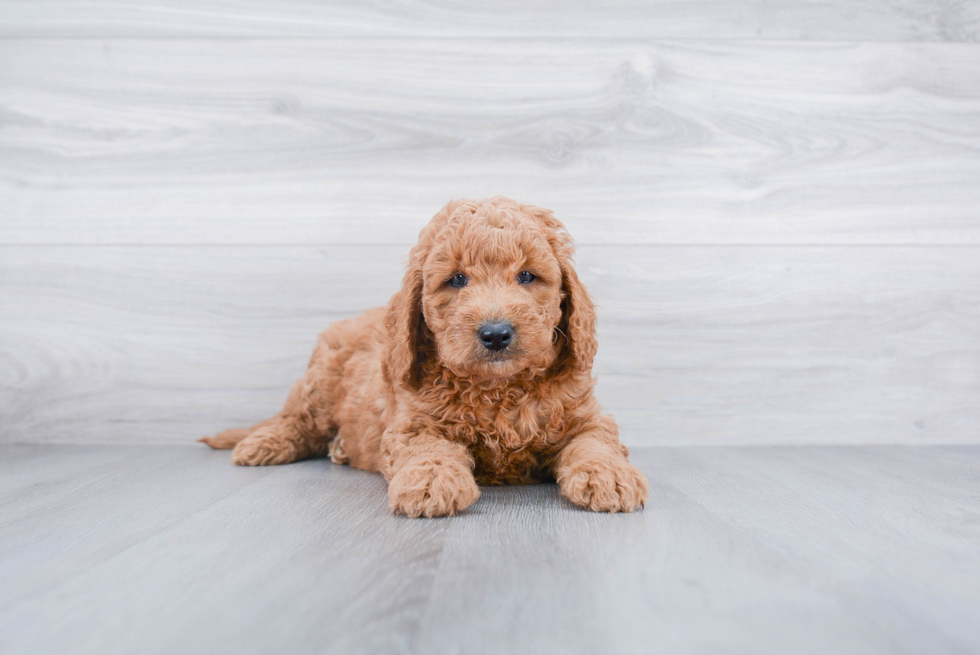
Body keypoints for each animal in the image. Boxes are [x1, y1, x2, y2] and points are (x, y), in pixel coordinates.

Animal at [200, 197, 648, 516]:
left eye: (526, 276)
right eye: (457, 280)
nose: (496, 334)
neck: (499, 389)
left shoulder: (584, 416)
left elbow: (595, 443)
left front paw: (610, 476)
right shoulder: (413, 424)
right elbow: (429, 451)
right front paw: (432, 484)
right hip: (320, 383)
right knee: (297, 420)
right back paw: (263, 444)